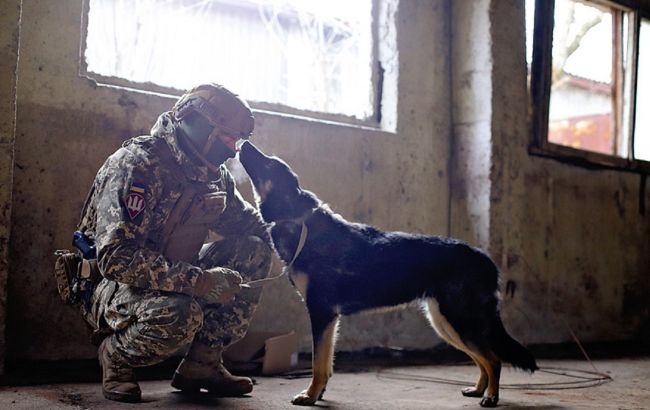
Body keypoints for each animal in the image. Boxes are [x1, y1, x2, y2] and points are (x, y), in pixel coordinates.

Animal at [235, 141, 536, 406]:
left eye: (269, 164)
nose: (245, 143)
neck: (298, 222)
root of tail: (487, 260)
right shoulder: (329, 318)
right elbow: (326, 363)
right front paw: (318, 394)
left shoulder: (322, 313)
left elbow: (318, 364)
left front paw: (310, 396)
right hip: (444, 323)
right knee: (483, 359)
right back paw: (478, 390)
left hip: (457, 321)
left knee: (493, 359)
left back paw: (491, 397)